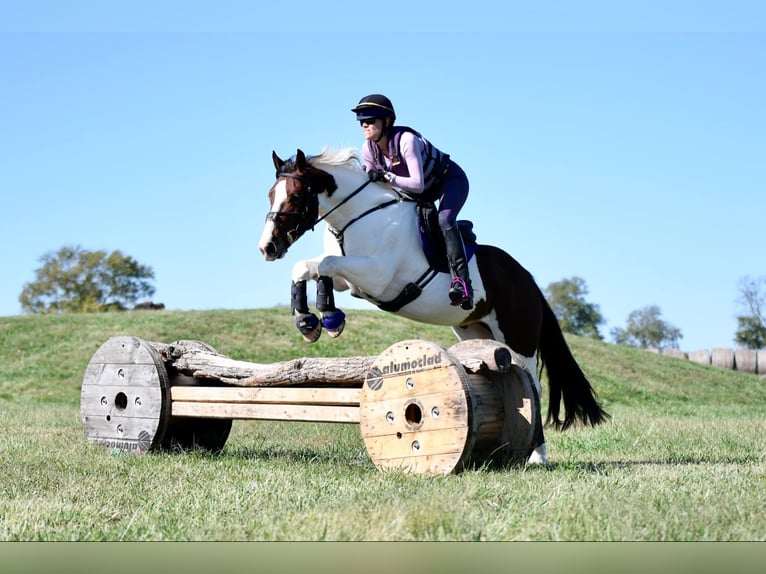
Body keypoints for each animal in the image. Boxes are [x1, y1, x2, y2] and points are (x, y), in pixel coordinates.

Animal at [258, 146, 612, 466]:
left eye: (294, 197)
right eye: (270, 195)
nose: (267, 247)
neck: (357, 216)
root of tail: (527, 279)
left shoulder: (376, 276)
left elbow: (322, 264)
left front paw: (322, 318)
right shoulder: (351, 278)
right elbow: (312, 268)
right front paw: (314, 321)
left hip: (518, 339)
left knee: (534, 387)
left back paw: (538, 455)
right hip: (474, 331)